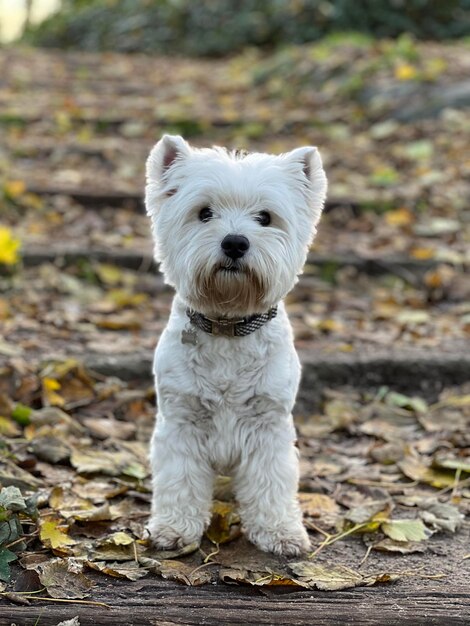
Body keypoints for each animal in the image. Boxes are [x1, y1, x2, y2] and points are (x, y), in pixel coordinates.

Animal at [145, 136, 324, 556]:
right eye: (204, 213)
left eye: (265, 217)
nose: (235, 242)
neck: (228, 325)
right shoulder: (181, 421)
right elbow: (180, 479)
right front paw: (174, 529)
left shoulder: (268, 423)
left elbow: (271, 483)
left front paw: (280, 532)